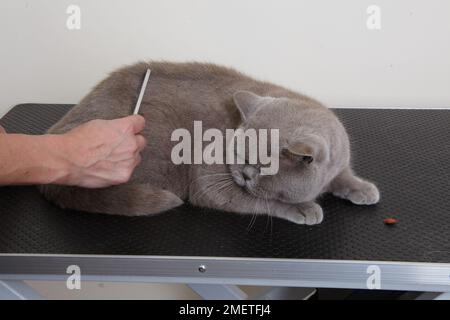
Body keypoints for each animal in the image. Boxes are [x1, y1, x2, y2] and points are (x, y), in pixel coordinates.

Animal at [41, 61, 380, 224]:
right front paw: (304, 208)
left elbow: (343, 175)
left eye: (262, 167)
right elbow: (264, 203)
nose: (244, 174)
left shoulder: (338, 159)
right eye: (238, 154)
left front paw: (363, 189)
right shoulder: (210, 182)